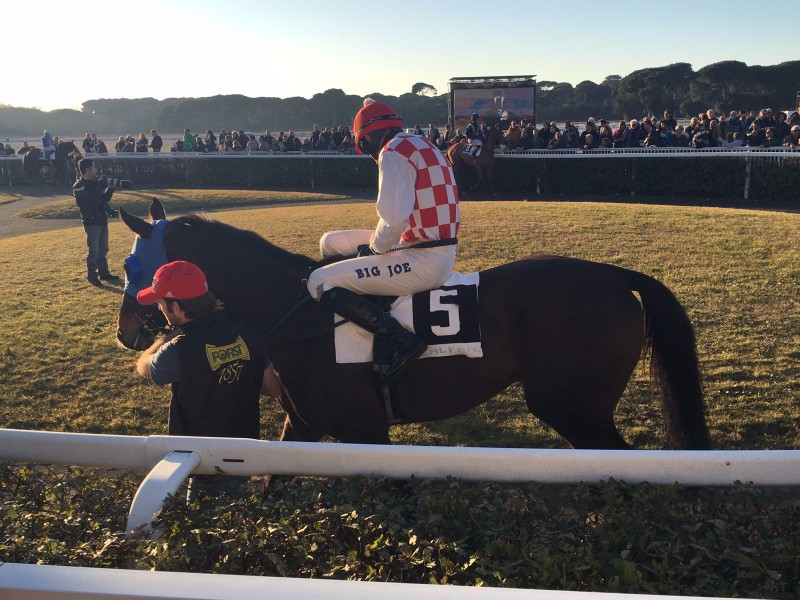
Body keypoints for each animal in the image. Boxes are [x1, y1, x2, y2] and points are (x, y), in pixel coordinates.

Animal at [115, 200, 708, 450]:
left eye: (129, 268)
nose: (127, 332)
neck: (298, 314)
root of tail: (612, 274)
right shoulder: (303, 424)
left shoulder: (365, 431)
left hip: (572, 406)